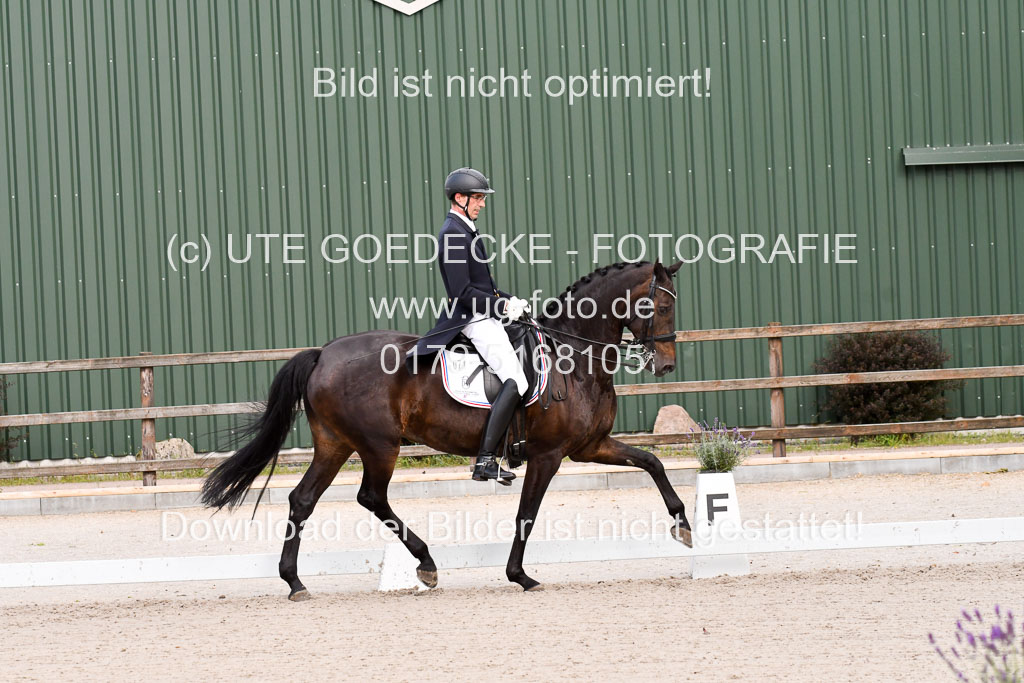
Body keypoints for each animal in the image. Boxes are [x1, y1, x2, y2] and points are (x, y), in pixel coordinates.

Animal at [200, 260, 693, 600]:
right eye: (662, 305)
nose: (667, 366)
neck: (574, 357)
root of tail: (324, 353)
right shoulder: (549, 454)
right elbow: (527, 514)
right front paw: (521, 576)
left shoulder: (590, 446)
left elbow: (652, 462)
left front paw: (684, 525)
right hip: (379, 445)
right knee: (371, 497)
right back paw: (426, 563)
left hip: (335, 444)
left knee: (303, 500)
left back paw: (295, 582)